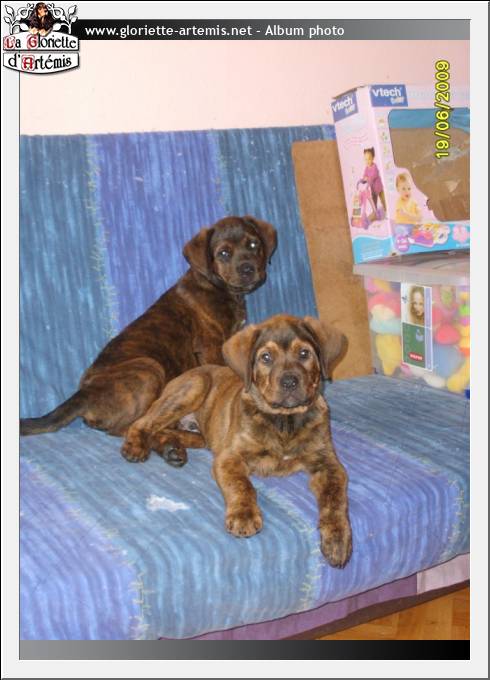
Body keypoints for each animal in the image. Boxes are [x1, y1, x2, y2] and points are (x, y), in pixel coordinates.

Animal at [20, 216, 277, 442]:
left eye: (253, 245)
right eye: (224, 253)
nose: (248, 269)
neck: (218, 286)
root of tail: (84, 395)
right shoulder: (210, 346)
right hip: (148, 368)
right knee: (132, 426)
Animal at [121, 314, 352, 568]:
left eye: (304, 353)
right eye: (266, 357)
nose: (290, 382)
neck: (285, 421)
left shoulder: (328, 463)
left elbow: (335, 500)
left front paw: (338, 539)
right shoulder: (229, 456)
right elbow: (241, 485)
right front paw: (244, 516)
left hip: (201, 435)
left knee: (164, 431)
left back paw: (172, 450)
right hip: (194, 386)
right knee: (142, 422)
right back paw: (136, 447)